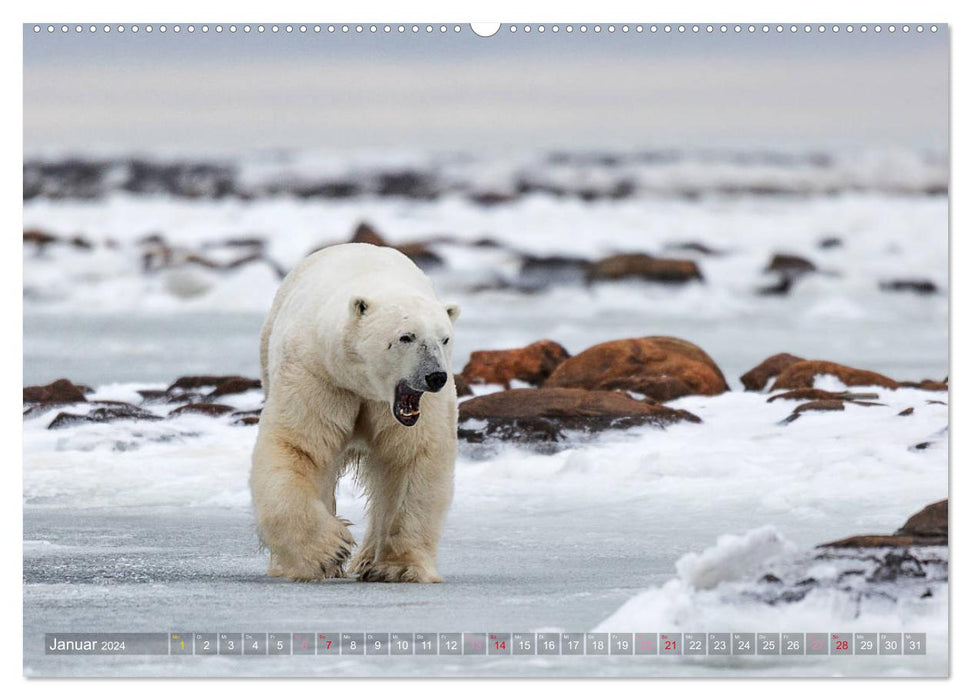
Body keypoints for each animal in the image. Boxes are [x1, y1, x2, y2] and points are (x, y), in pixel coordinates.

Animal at [252, 243, 462, 584]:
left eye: (444, 339)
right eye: (406, 336)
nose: (435, 377)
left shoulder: (410, 409)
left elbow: (413, 457)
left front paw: (401, 567)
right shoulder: (319, 376)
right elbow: (299, 447)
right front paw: (328, 552)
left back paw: (366, 561)